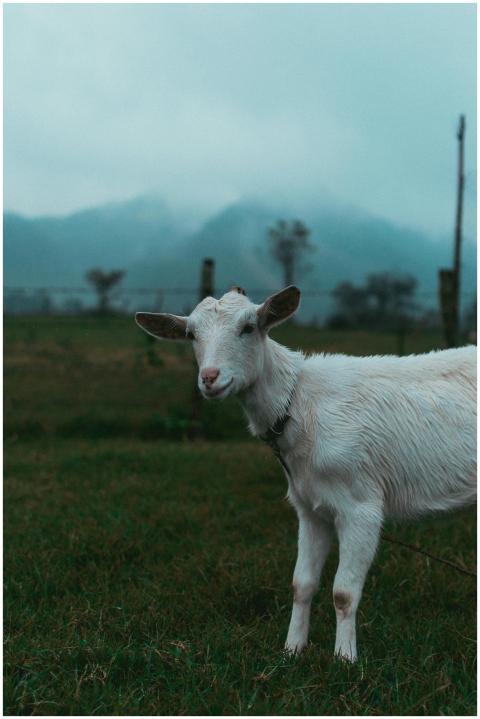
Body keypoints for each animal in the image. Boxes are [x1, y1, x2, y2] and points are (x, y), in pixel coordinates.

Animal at [135, 285, 476, 661]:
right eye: (191, 334)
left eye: (248, 327)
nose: (210, 378)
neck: (298, 404)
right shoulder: (310, 507)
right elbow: (302, 584)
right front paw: (292, 650)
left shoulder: (361, 507)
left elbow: (343, 593)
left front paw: (345, 659)